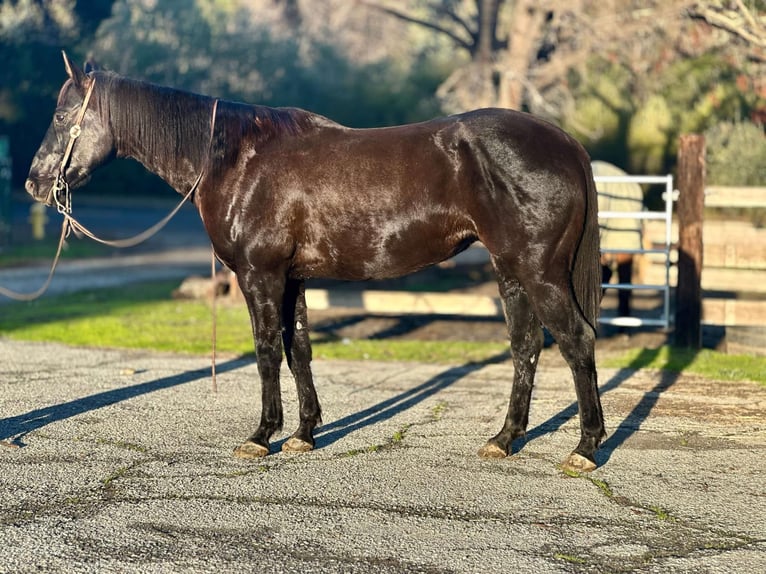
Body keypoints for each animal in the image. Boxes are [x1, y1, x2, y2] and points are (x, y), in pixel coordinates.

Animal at [25, 53, 605, 472]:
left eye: (61, 115)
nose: (34, 182)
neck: (237, 159)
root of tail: (567, 144)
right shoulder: (293, 279)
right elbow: (298, 349)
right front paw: (305, 434)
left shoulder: (259, 276)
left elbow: (265, 352)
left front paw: (262, 436)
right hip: (510, 272)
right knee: (526, 346)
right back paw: (504, 439)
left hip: (539, 271)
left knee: (577, 341)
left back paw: (584, 448)